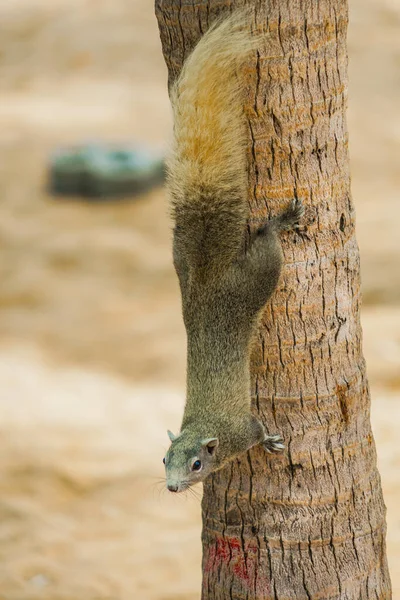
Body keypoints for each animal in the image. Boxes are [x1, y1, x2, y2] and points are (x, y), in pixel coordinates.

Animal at [162, 11, 304, 494]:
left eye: (196, 465)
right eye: (163, 459)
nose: (172, 488)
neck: (207, 429)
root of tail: (206, 279)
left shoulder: (242, 429)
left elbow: (258, 432)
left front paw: (273, 442)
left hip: (257, 278)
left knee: (268, 247)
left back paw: (280, 222)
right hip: (179, 260)